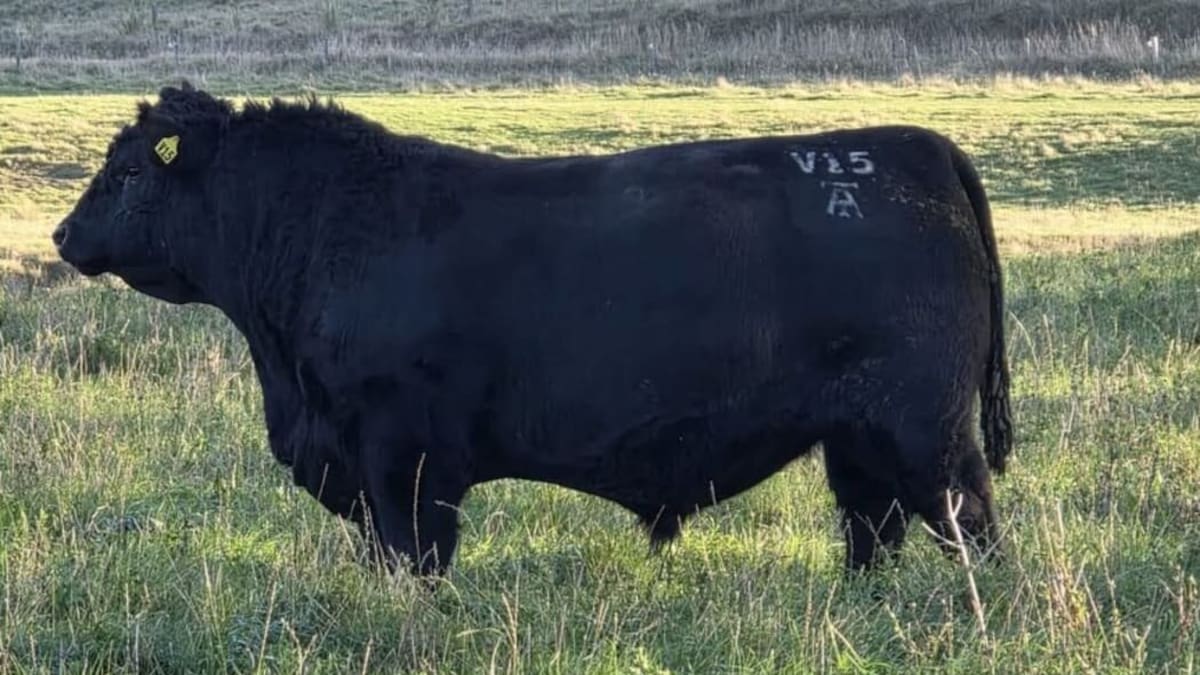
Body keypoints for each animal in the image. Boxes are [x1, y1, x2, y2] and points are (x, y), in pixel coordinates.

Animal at [53, 82, 1013, 578]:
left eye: (128, 170)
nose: (63, 236)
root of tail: (917, 146)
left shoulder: (400, 457)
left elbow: (413, 555)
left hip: (927, 431)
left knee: (967, 524)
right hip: (857, 437)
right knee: (872, 529)